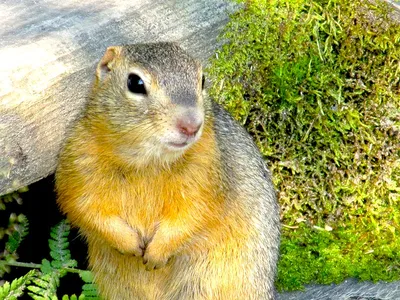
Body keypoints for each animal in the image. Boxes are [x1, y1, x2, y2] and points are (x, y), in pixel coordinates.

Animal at [55, 42, 282, 300]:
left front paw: (155, 254)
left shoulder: (207, 175)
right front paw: (130, 244)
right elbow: (86, 210)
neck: (147, 162)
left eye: (202, 80)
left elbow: (193, 216)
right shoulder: (77, 166)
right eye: (135, 83)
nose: (192, 125)